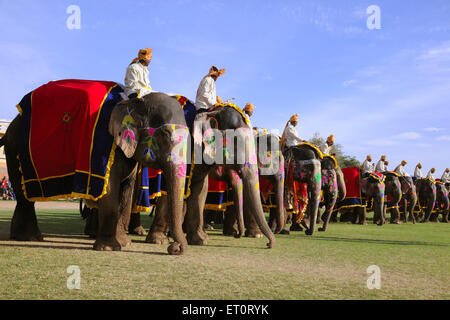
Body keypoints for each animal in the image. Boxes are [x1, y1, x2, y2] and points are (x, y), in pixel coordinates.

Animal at [1, 80, 188, 255]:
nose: (175, 248)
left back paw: (22, 237)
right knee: (24, 195)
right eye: (165, 134)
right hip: (15, 148)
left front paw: (124, 243)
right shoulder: (103, 146)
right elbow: (109, 189)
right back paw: (31, 237)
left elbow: (126, 192)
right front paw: (109, 248)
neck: (134, 101)